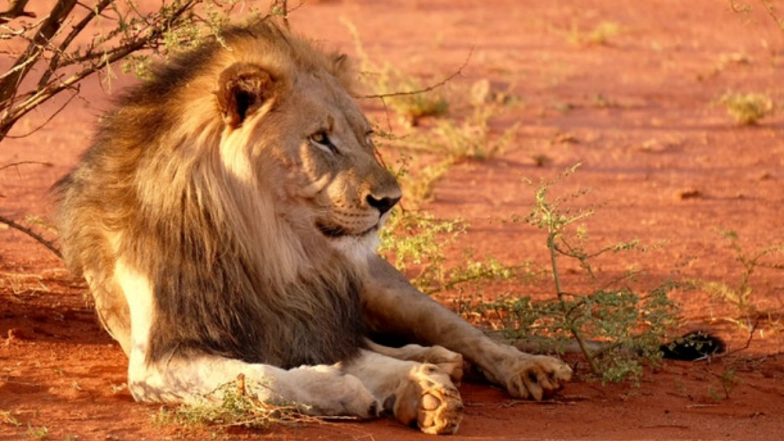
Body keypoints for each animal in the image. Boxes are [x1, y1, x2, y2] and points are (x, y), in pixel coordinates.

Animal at [54, 20, 572, 434]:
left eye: (366, 136)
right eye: (321, 139)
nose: (391, 201)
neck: (265, 244)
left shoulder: (299, 319)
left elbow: (344, 356)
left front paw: (415, 388)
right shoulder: (158, 360)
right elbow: (261, 376)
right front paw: (363, 390)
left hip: (379, 286)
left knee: (462, 332)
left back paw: (524, 368)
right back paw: (432, 362)